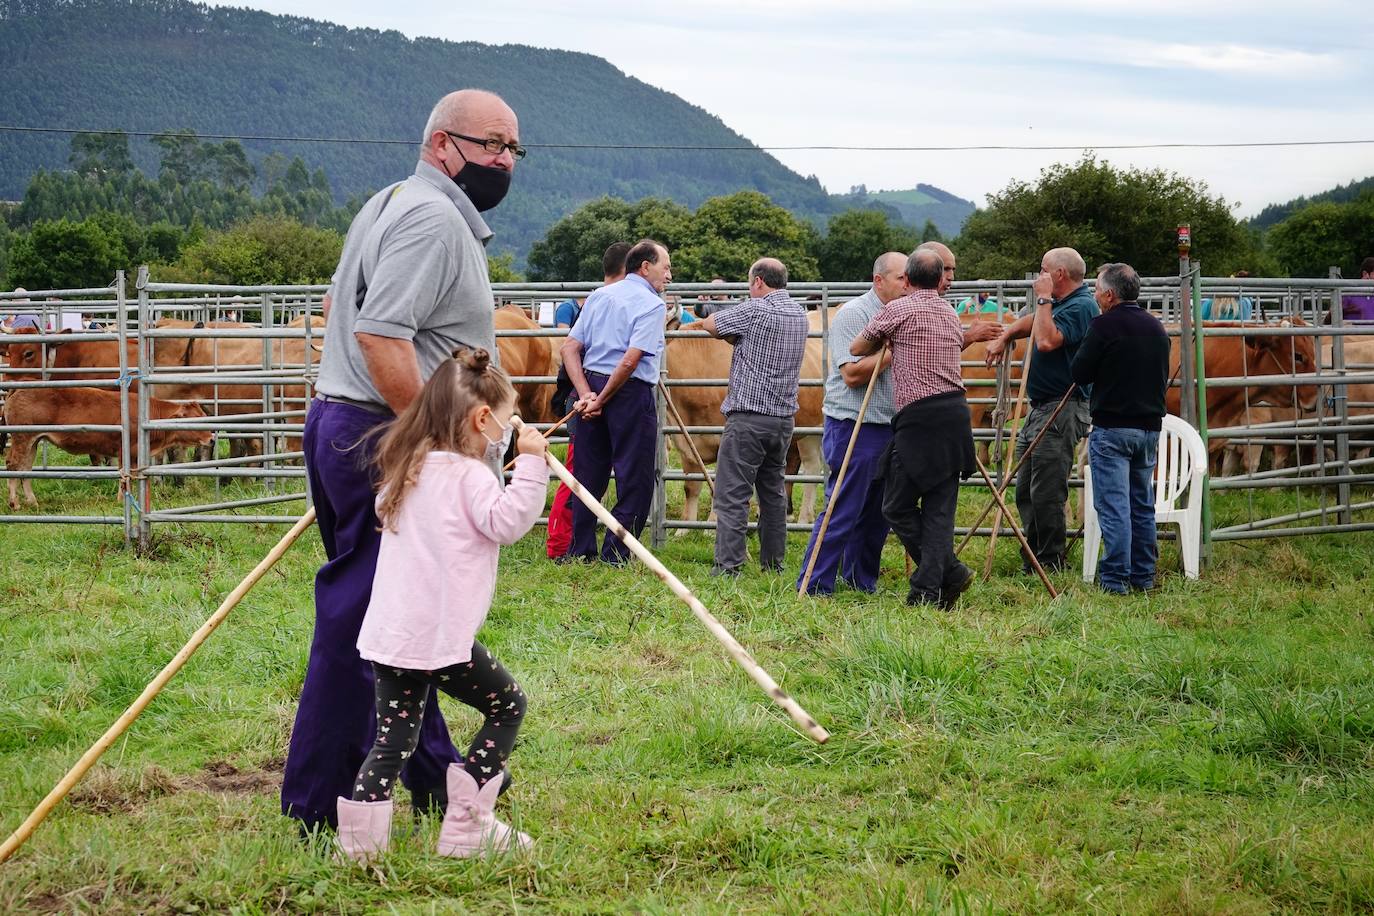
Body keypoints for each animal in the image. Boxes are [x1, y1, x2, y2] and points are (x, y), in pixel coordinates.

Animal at [2, 387, 211, 508]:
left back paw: (32, 501)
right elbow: (125, 476)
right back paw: (14, 503)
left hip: (33, 441)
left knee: (25, 469)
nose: (212, 438)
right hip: (22, 438)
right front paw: (121, 500)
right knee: (13, 464)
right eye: (195, 420)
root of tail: (19, 390)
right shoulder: (125, 450)